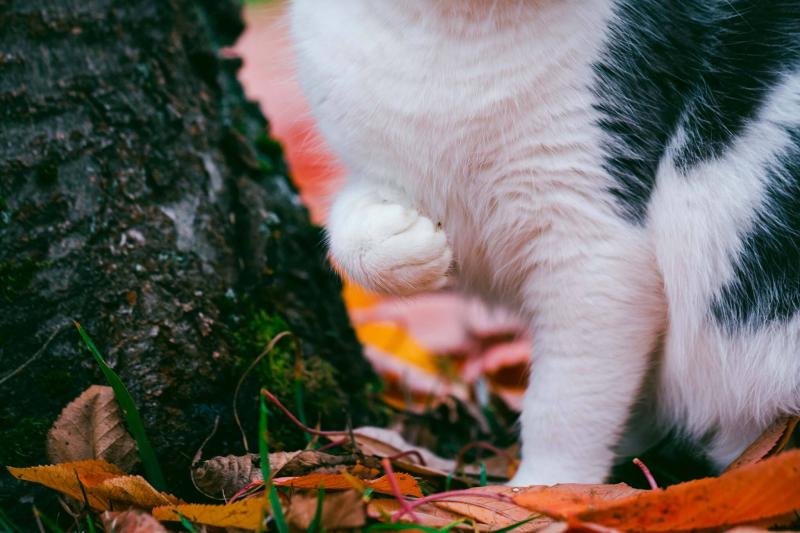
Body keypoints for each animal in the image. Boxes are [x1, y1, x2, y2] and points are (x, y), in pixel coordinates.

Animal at [290, 0, 800, 482]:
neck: (453, 42)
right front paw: (402, 246)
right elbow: (346, 225)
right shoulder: (378, 171)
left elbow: (565, 402)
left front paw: (542, 493)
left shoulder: (594, 246)